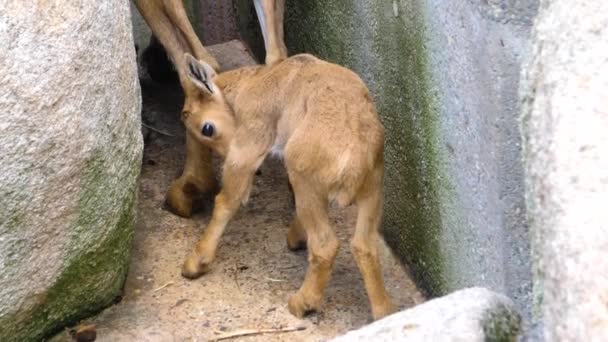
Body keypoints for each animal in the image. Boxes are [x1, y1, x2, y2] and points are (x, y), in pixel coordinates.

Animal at [179, 52, 394, 320]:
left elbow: (226, 201)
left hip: (307, 183)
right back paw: (383, 311)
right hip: (372, 190)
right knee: (364, 246)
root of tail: (354, 161)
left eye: (206, 128)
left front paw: (195, 263)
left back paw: (301, 303)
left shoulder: (249, 143)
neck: (254, 83)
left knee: (325, 246)